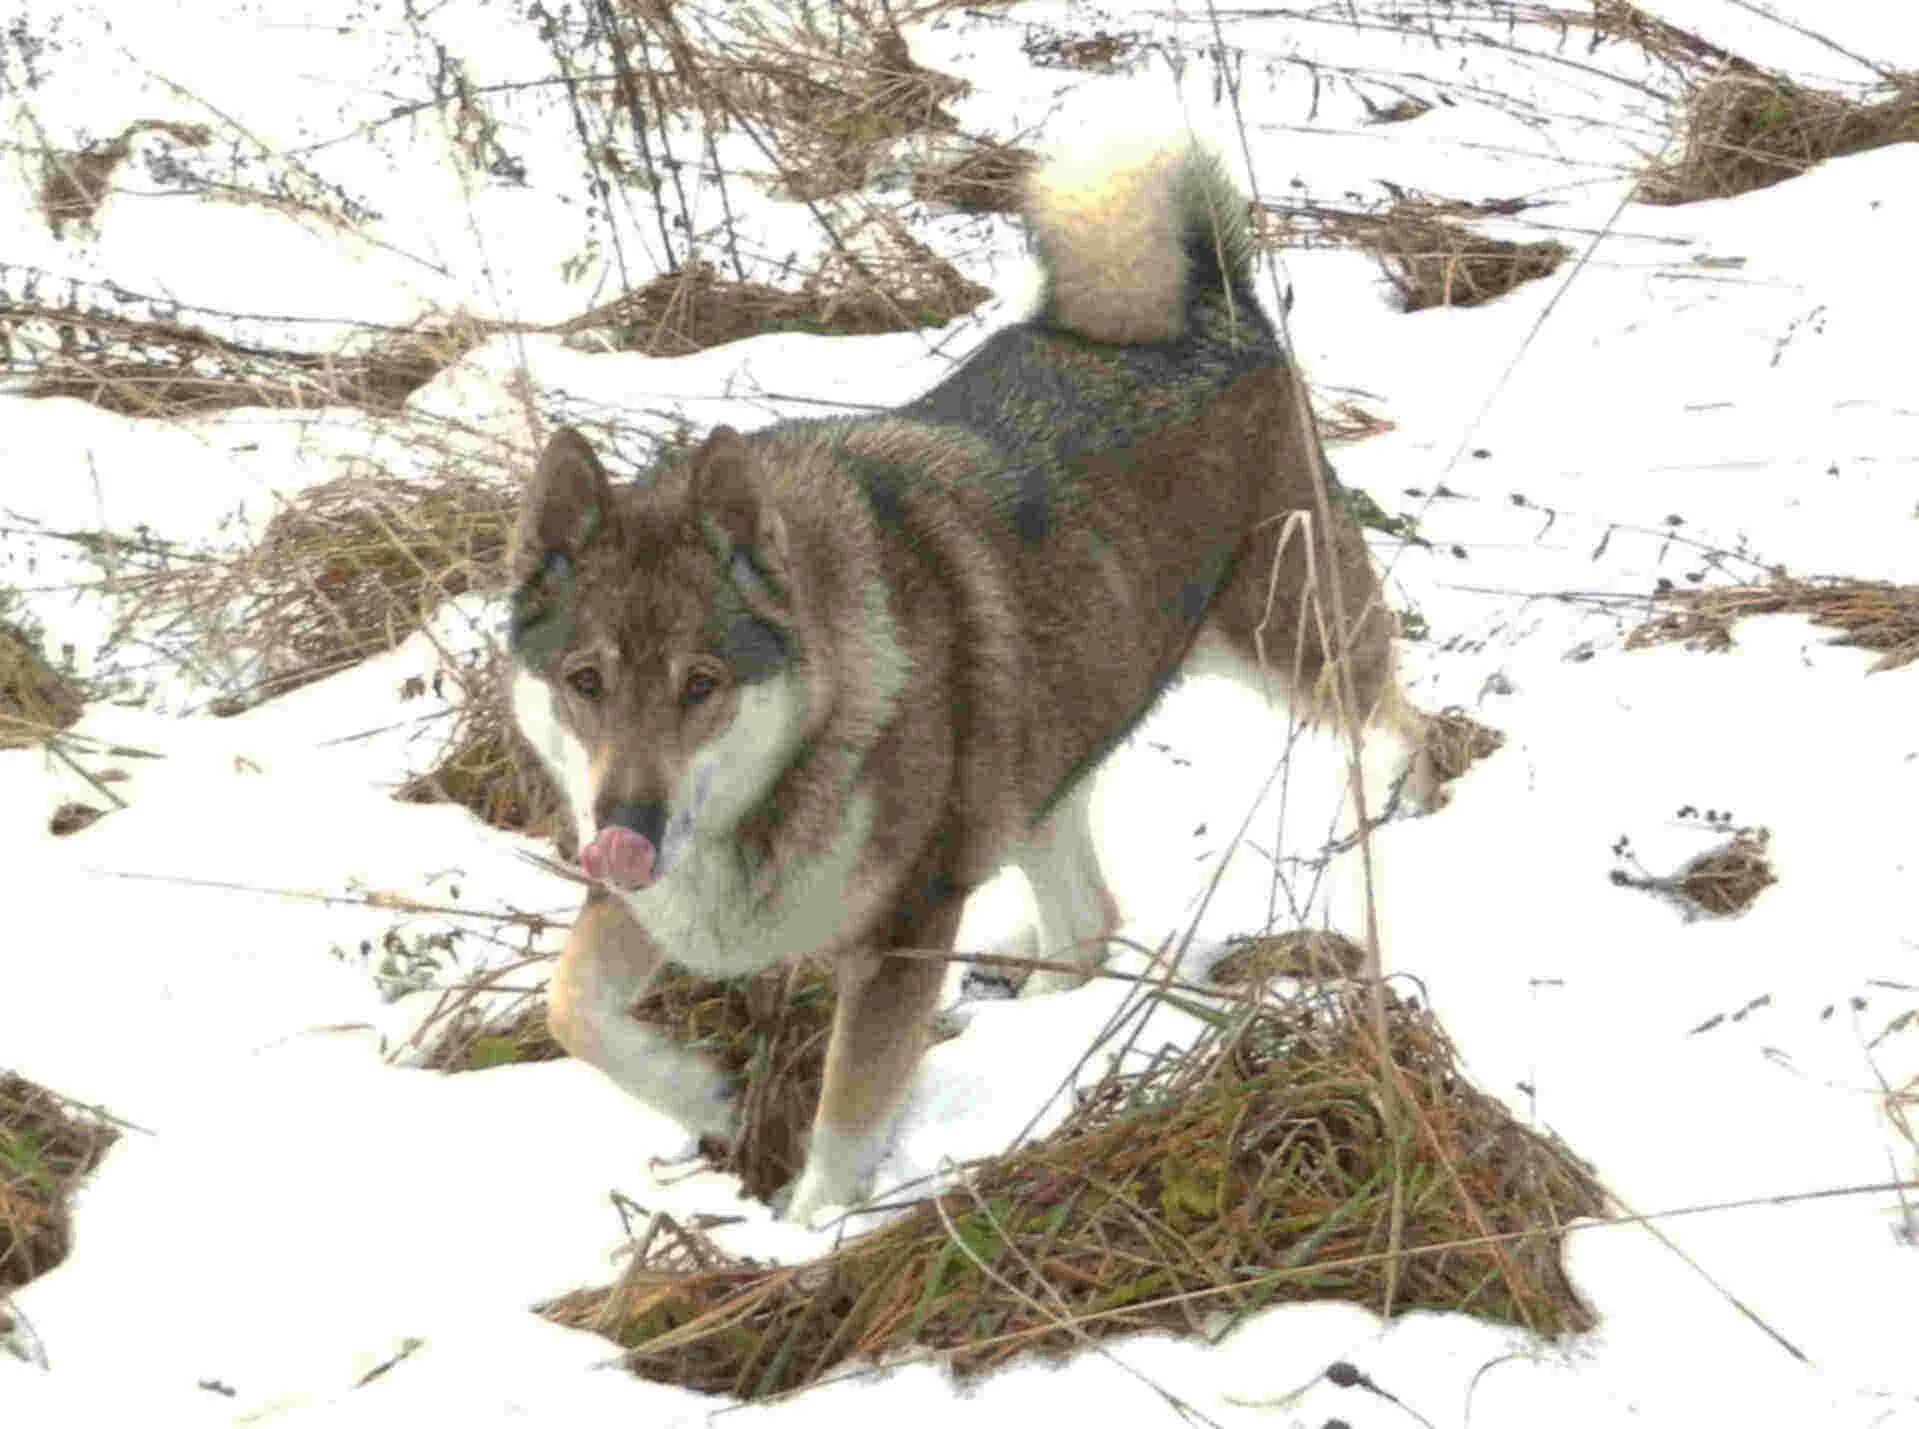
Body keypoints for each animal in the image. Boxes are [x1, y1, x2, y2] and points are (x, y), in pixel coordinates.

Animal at [502, 139, 1435, 1219]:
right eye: (584, 679)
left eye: (702, 682)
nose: (626, 826)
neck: (796, 767)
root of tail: (1211, 307)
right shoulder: (646, 901)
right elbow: (570, 1008)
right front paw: (700, 1092)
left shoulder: (904, 931)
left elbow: (845, 1123)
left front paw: (810, 1233)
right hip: (1037, 761)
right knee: (1085, 927)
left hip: (1291, 637)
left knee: (1400, 718)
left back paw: (1401, 804)